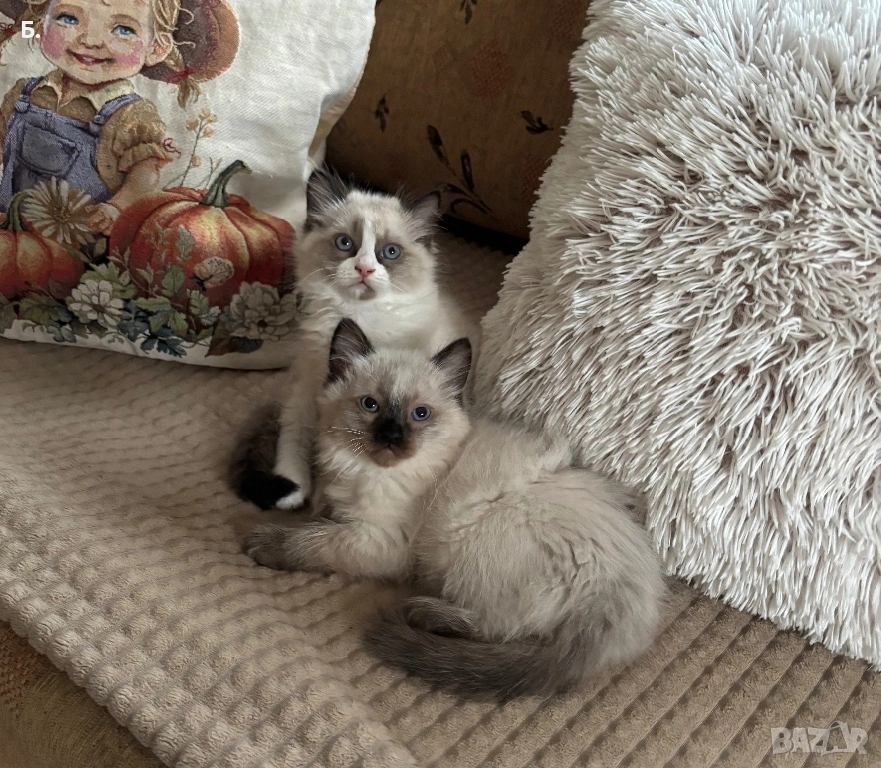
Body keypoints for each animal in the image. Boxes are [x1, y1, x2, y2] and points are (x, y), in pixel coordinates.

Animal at [233, 168, 475, 511]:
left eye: (390, 252)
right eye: (345, 243)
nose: (364, 268)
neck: (359, 315)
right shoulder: (308, 387)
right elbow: (296, 436)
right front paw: (296, 490)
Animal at [244, 317, 472, 579]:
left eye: (421, 413)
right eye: (370, 404)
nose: (391, 436)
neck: (366, 471)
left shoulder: (377, 539)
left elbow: (312, 540)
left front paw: (261, 542)